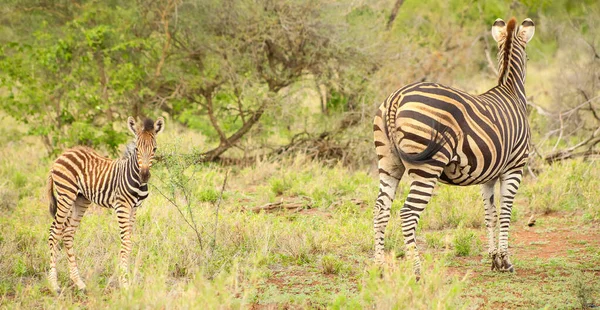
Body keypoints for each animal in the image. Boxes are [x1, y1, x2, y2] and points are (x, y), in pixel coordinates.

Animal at [46, 116, 164, 294]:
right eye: (137, 148)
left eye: (154, 149)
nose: (144, 175)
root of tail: (63, 154)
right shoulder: (122, 206)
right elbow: (125, 242)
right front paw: (125, 283)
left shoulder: (134, 208)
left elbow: (129, 241)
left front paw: (127, 280)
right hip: (66, 195)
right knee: (54, 232)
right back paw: (54, 285)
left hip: (80, 200)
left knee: (67, 232)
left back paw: (79, 283)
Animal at [372, 17, 536, 278]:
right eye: (529, 57)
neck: (510, 91)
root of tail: (396, 98)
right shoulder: (514, 167)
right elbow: (506, 213)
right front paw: (506, 261)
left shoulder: (489, 174)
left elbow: (490, 215)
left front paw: (494, 259)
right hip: (427, 168)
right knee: (407, 214)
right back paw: (417, 272)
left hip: (388, 162)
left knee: (380, 210)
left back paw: (378, 268)